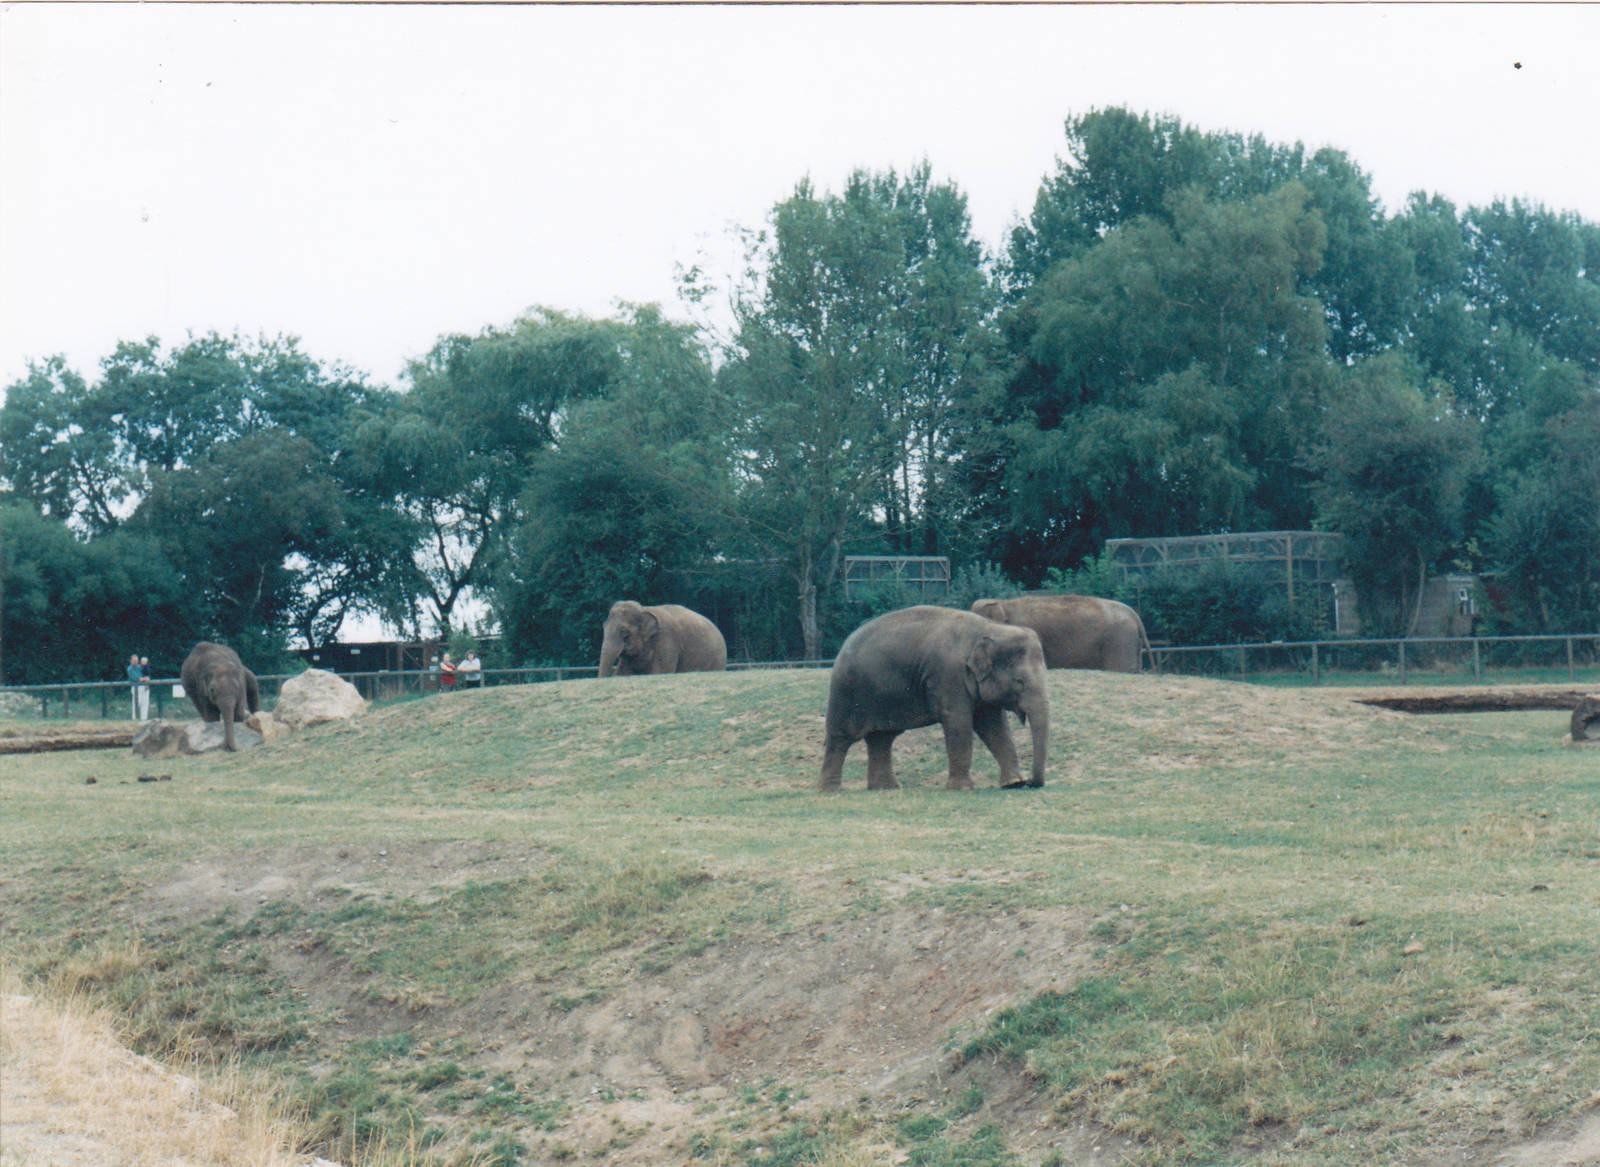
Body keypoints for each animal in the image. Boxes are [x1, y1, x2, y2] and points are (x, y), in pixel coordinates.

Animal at [597, 601, 727, 677]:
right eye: (603, 626)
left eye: (624, 633)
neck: (644, 609)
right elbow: (623, 673)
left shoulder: (667, 640)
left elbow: (660, 672)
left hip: (717, 659)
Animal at [820, 606, 1049, 792]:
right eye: (1019, 680)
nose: (1031, 782)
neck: (990, 628)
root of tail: (842, 648)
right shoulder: (948, 675)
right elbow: (958, 722)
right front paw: (962, 789)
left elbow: (994, 726)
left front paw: (1013, 783)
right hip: (846, 692)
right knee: (841, 737)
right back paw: (831, 790)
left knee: (881, 738)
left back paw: (885, 788)